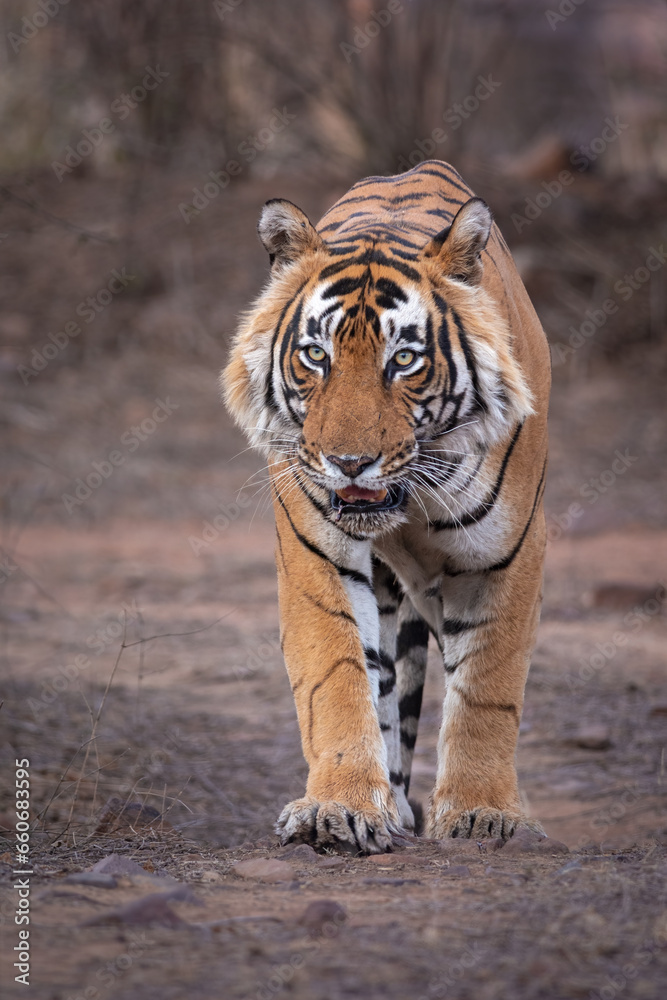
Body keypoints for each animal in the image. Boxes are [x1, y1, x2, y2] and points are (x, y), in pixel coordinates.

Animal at [222, 159, 550, 854]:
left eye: (403, 360)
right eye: (315, 355)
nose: (348, 463)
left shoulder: (507, 554)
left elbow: (488, 688)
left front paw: (483, 812)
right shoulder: (317, 549)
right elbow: (336, 675)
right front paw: (339, 809)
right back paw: (391, 805)